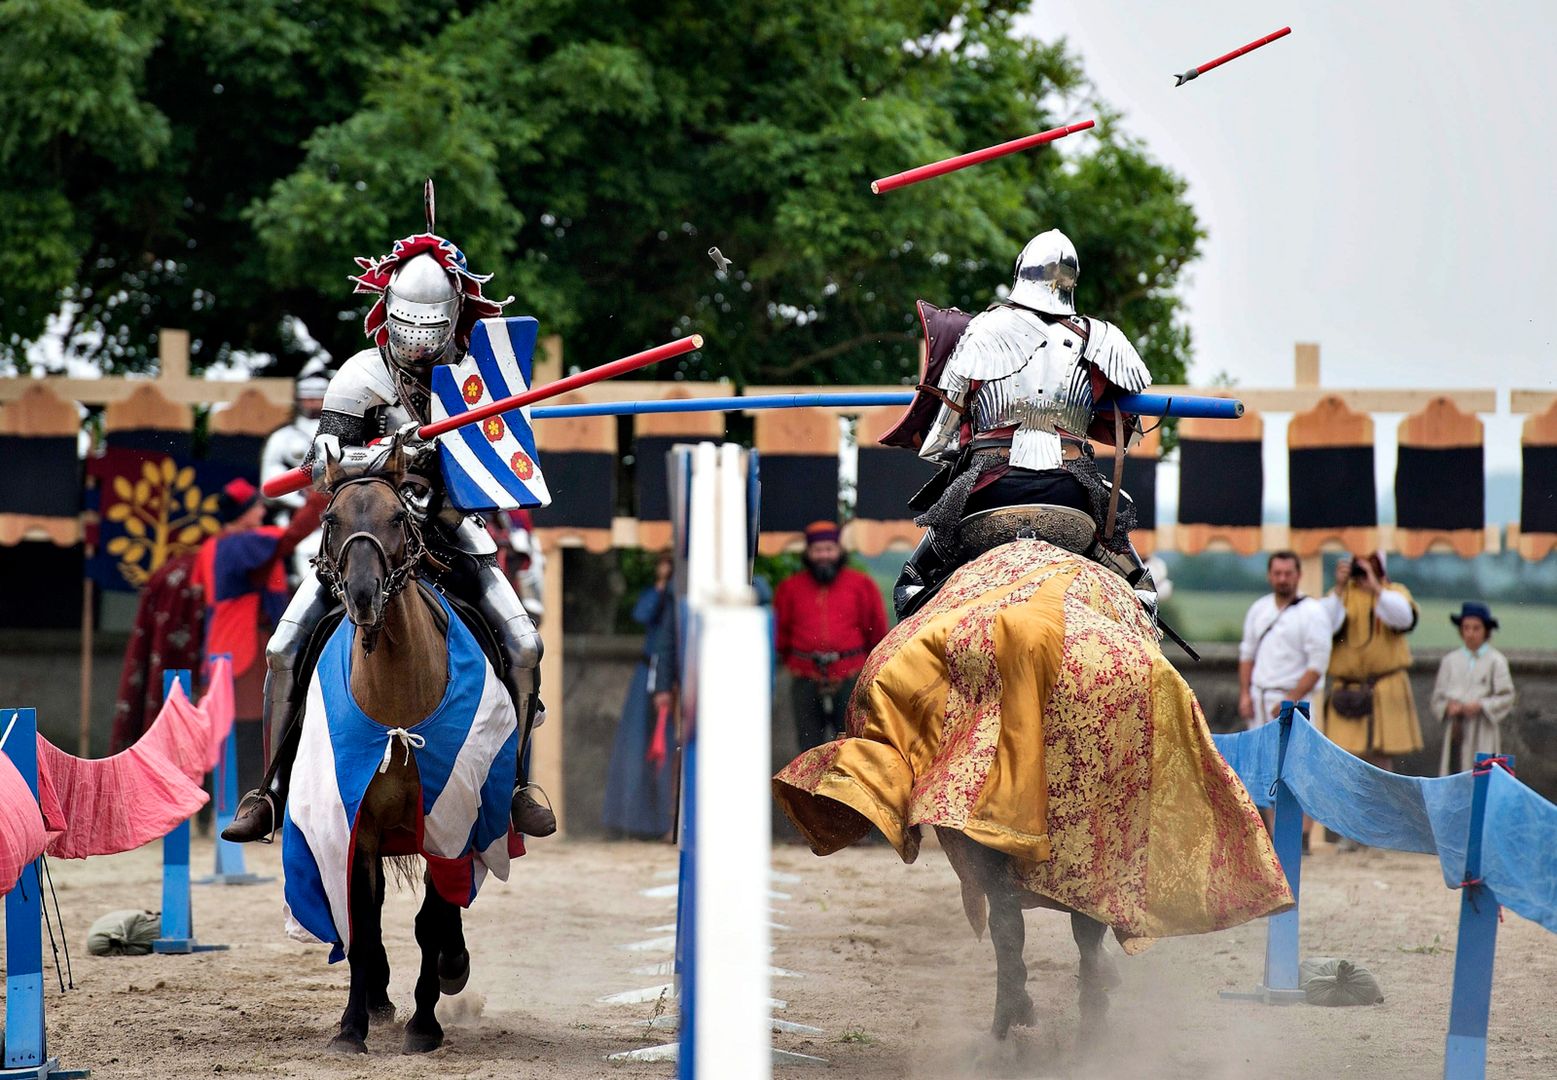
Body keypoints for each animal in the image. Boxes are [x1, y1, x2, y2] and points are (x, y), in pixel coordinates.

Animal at [311, 457, 467, 1058]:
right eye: (331, 519)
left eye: (398, 516)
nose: (362, 595)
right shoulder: (356, 824)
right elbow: (360, 916)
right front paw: (351, 1026)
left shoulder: (450, 820)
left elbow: (431, 921)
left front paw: (425, 1025)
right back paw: (376, 998)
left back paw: (452, 967)